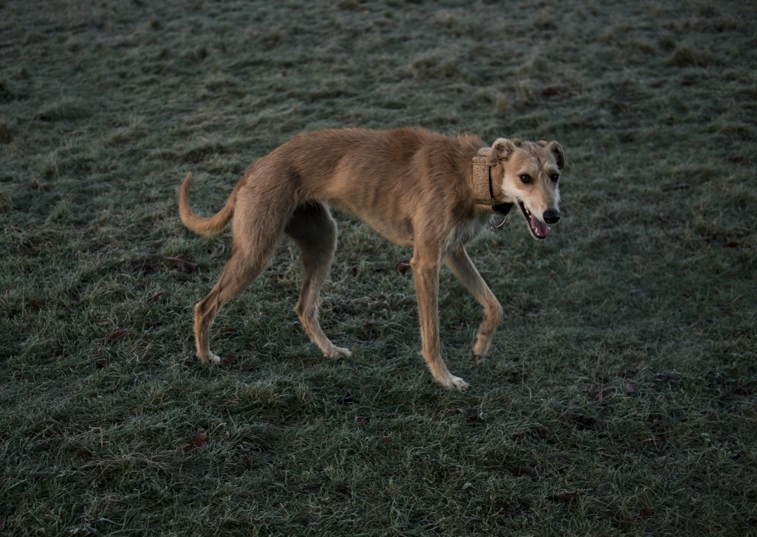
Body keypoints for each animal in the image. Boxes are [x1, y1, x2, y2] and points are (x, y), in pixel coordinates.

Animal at [180, 129, 564, 390]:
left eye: (555, 175)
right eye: (525, 177)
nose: (553, 216)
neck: (471, 173)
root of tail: (256, 166)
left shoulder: (453, 253)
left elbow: (495, 305)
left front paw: (480, 347)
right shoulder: (425, 263)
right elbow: (432, 335)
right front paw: (444, 378)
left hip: (323, 241)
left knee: (304, 307)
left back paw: (331, 351)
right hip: (255, 252)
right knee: (203, 305)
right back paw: (204, 357)